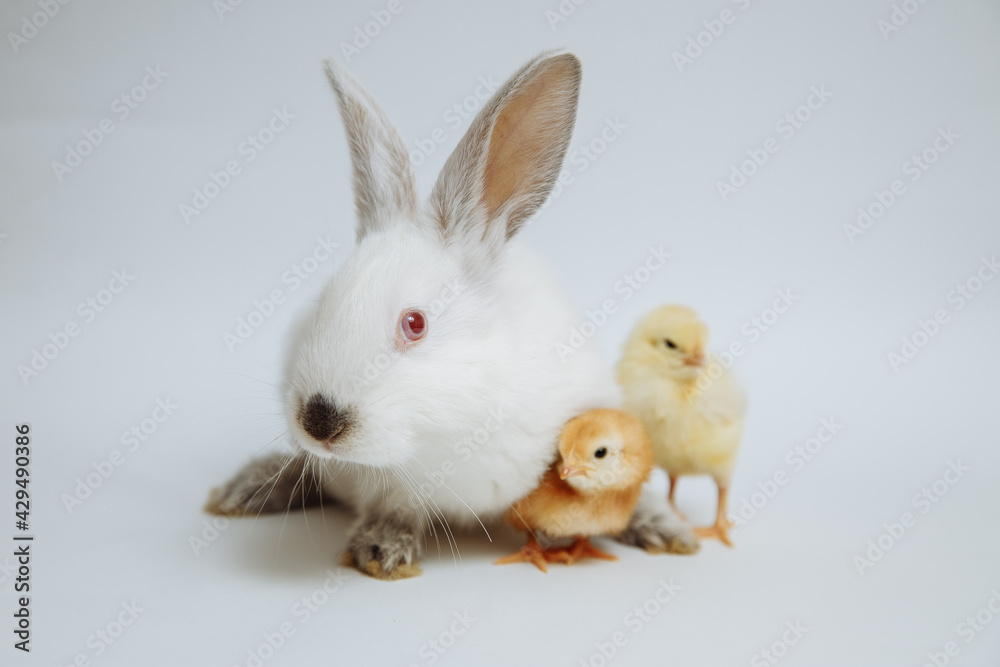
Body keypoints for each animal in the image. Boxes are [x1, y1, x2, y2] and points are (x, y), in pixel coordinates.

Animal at [205, 51, 698, 579]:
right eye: (323, 303)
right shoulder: (386, 483)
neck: (449, 429)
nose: (319, 421)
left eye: (415, 323)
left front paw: (656, 528)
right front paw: (380, 550)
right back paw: (244, 490)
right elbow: (394, 506)